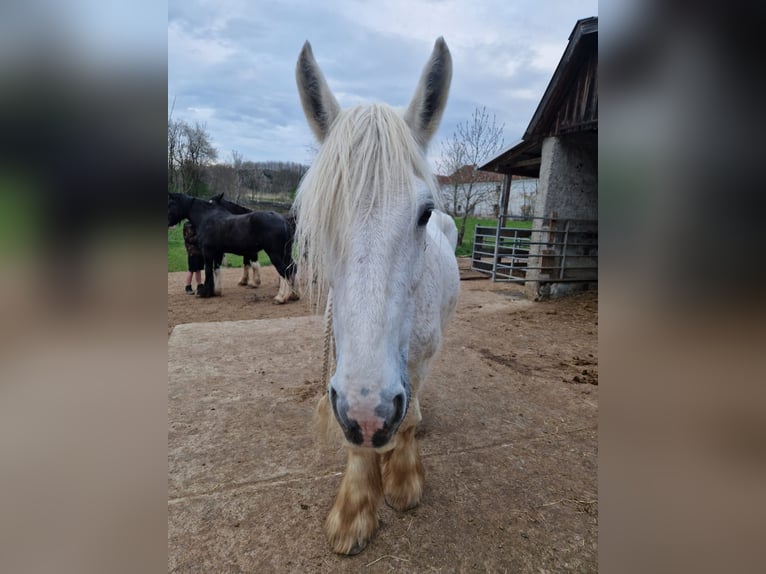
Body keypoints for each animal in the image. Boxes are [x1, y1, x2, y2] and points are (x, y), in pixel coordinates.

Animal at [168, 192, 298, 303]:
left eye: (171, 204)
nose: (168, 222)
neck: (206, 218)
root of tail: (284, 221)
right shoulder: (218, 253)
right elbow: (216, 270)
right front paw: (216, 292)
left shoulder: (208, 252)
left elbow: (209, 271)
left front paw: (204, 293)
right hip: (286, 253)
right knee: (292, 268)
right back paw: (294, 295)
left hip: (275, 254)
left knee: (284, 271)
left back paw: (280, 298)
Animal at [292, 38, 459, 554]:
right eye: (317, 218)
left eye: (424, 213)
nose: (368, 417)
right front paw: (355, 510)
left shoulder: (416, 363)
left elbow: (405, 420)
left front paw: (402, 481)